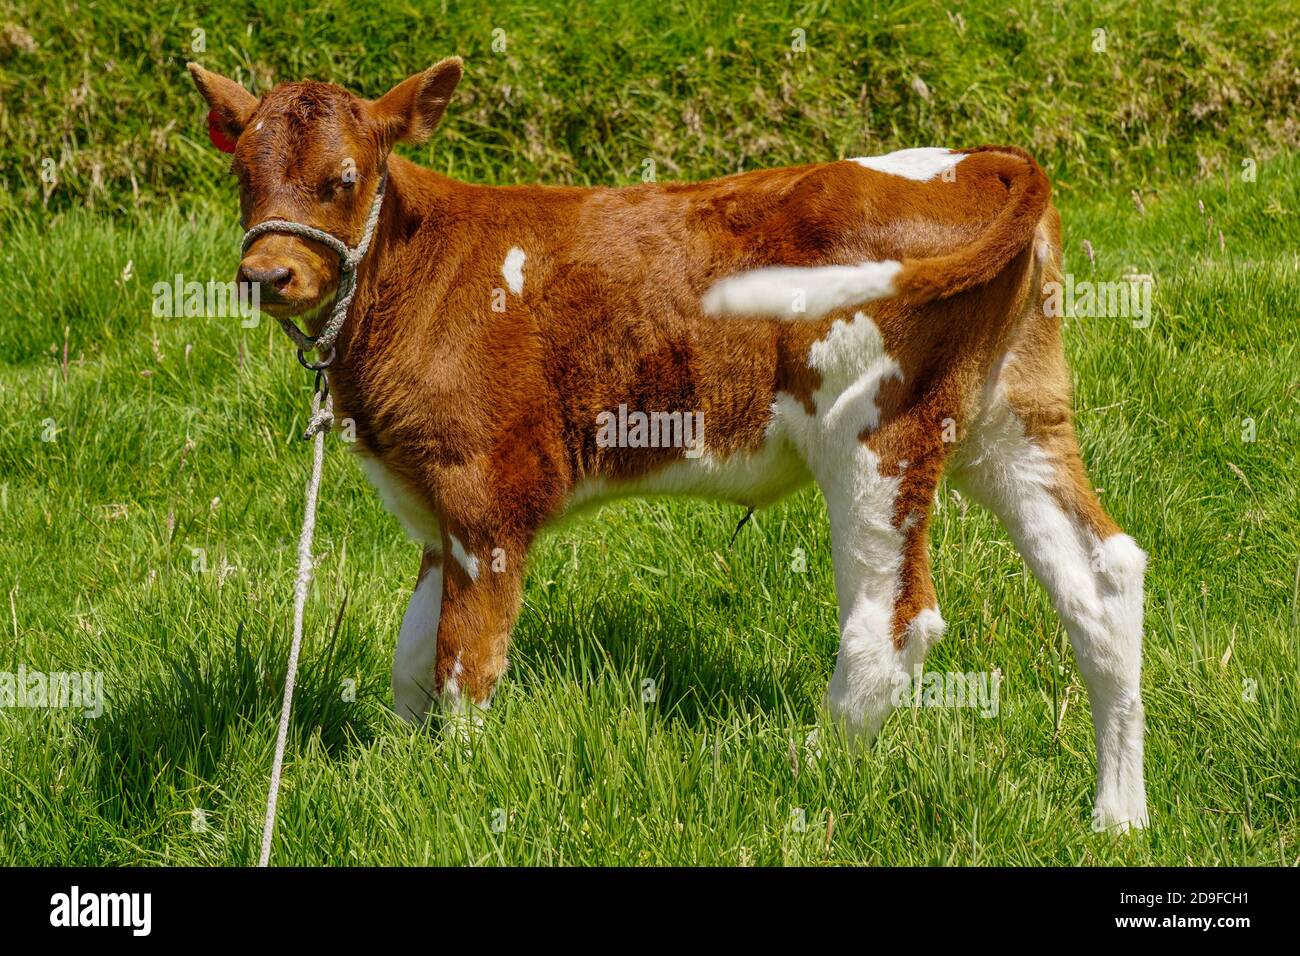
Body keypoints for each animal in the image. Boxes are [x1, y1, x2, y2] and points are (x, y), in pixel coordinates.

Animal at [188, 57, 1148, 831]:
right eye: (241, 172)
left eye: (344, 178)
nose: (267, 274)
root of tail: (982, 162)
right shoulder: (434, 503)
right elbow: (410, 661)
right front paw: (397, 769)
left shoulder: (487, 490)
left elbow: (466, 663)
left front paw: (451, 788)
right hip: (1011, 418)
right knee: (1104, 578)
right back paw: (1117, 815)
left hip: (875, 429)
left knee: (895, 620)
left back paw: (798, 772)